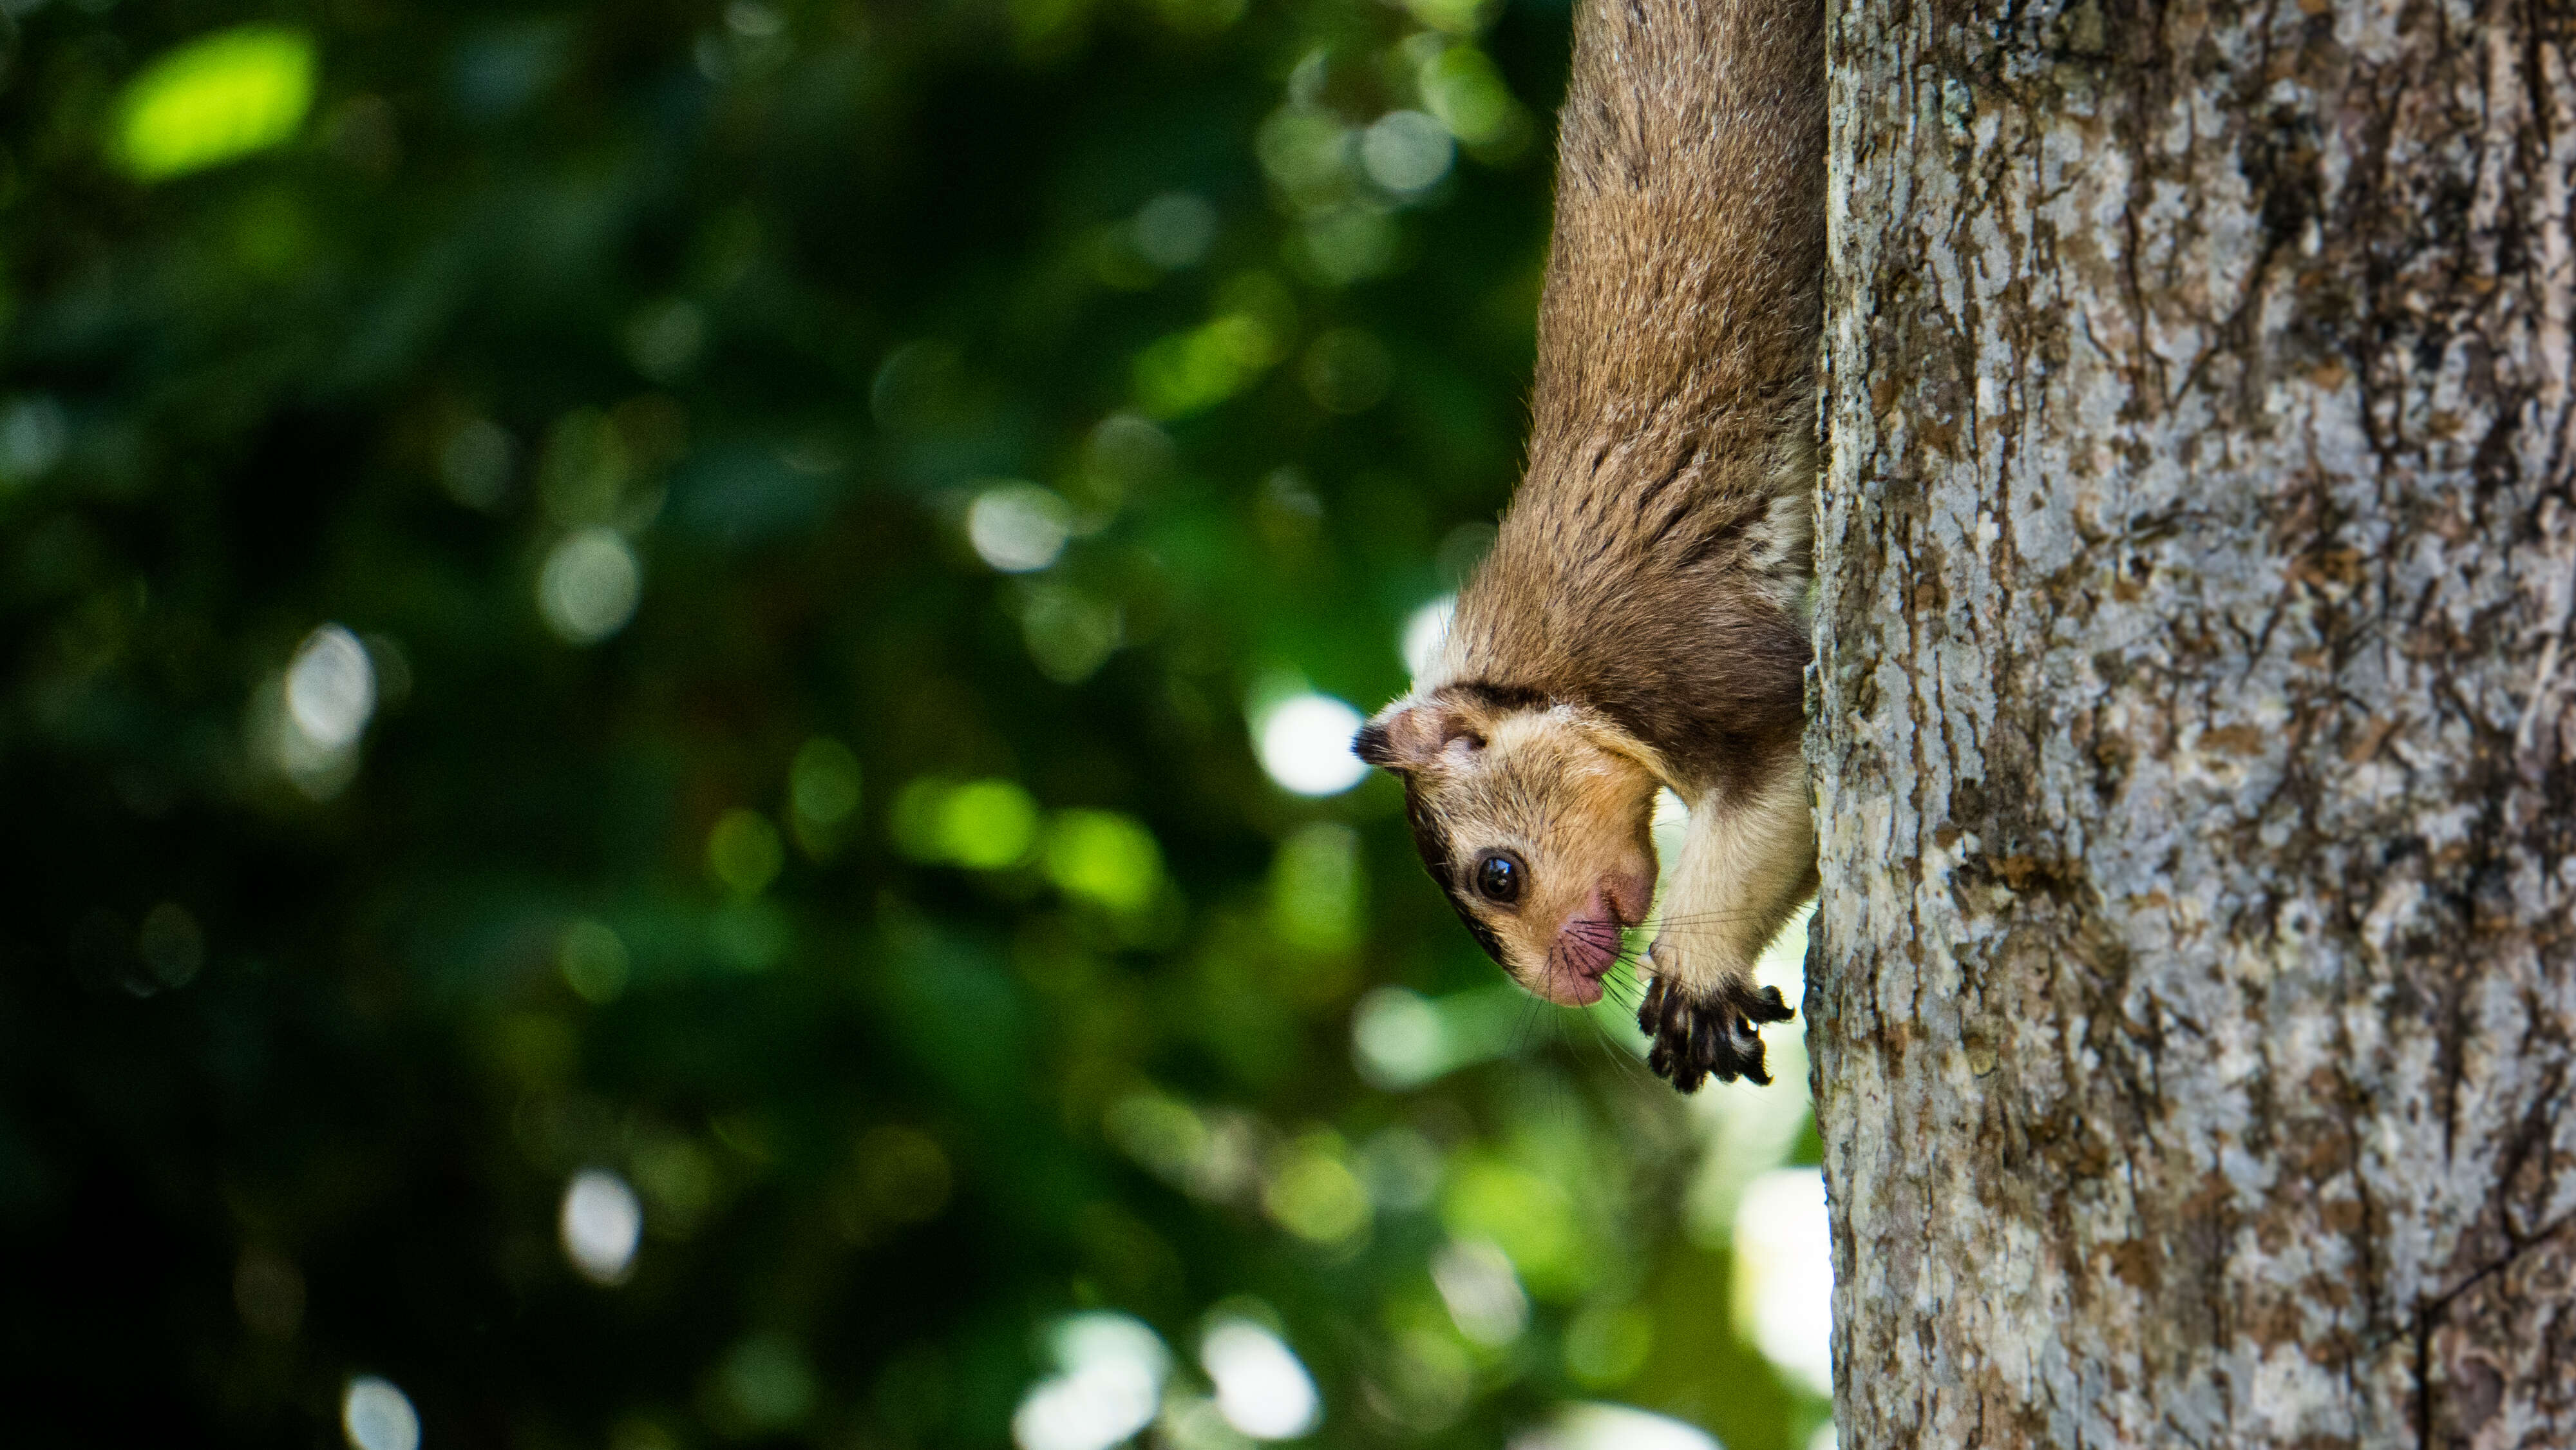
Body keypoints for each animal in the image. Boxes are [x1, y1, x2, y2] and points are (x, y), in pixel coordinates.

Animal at [1360, 0, 1824, 1097]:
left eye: (1498, 873)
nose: (1564, 988)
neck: (1545, 668)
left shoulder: (1676, 652)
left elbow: (1780, 775)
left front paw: (1694, 982)